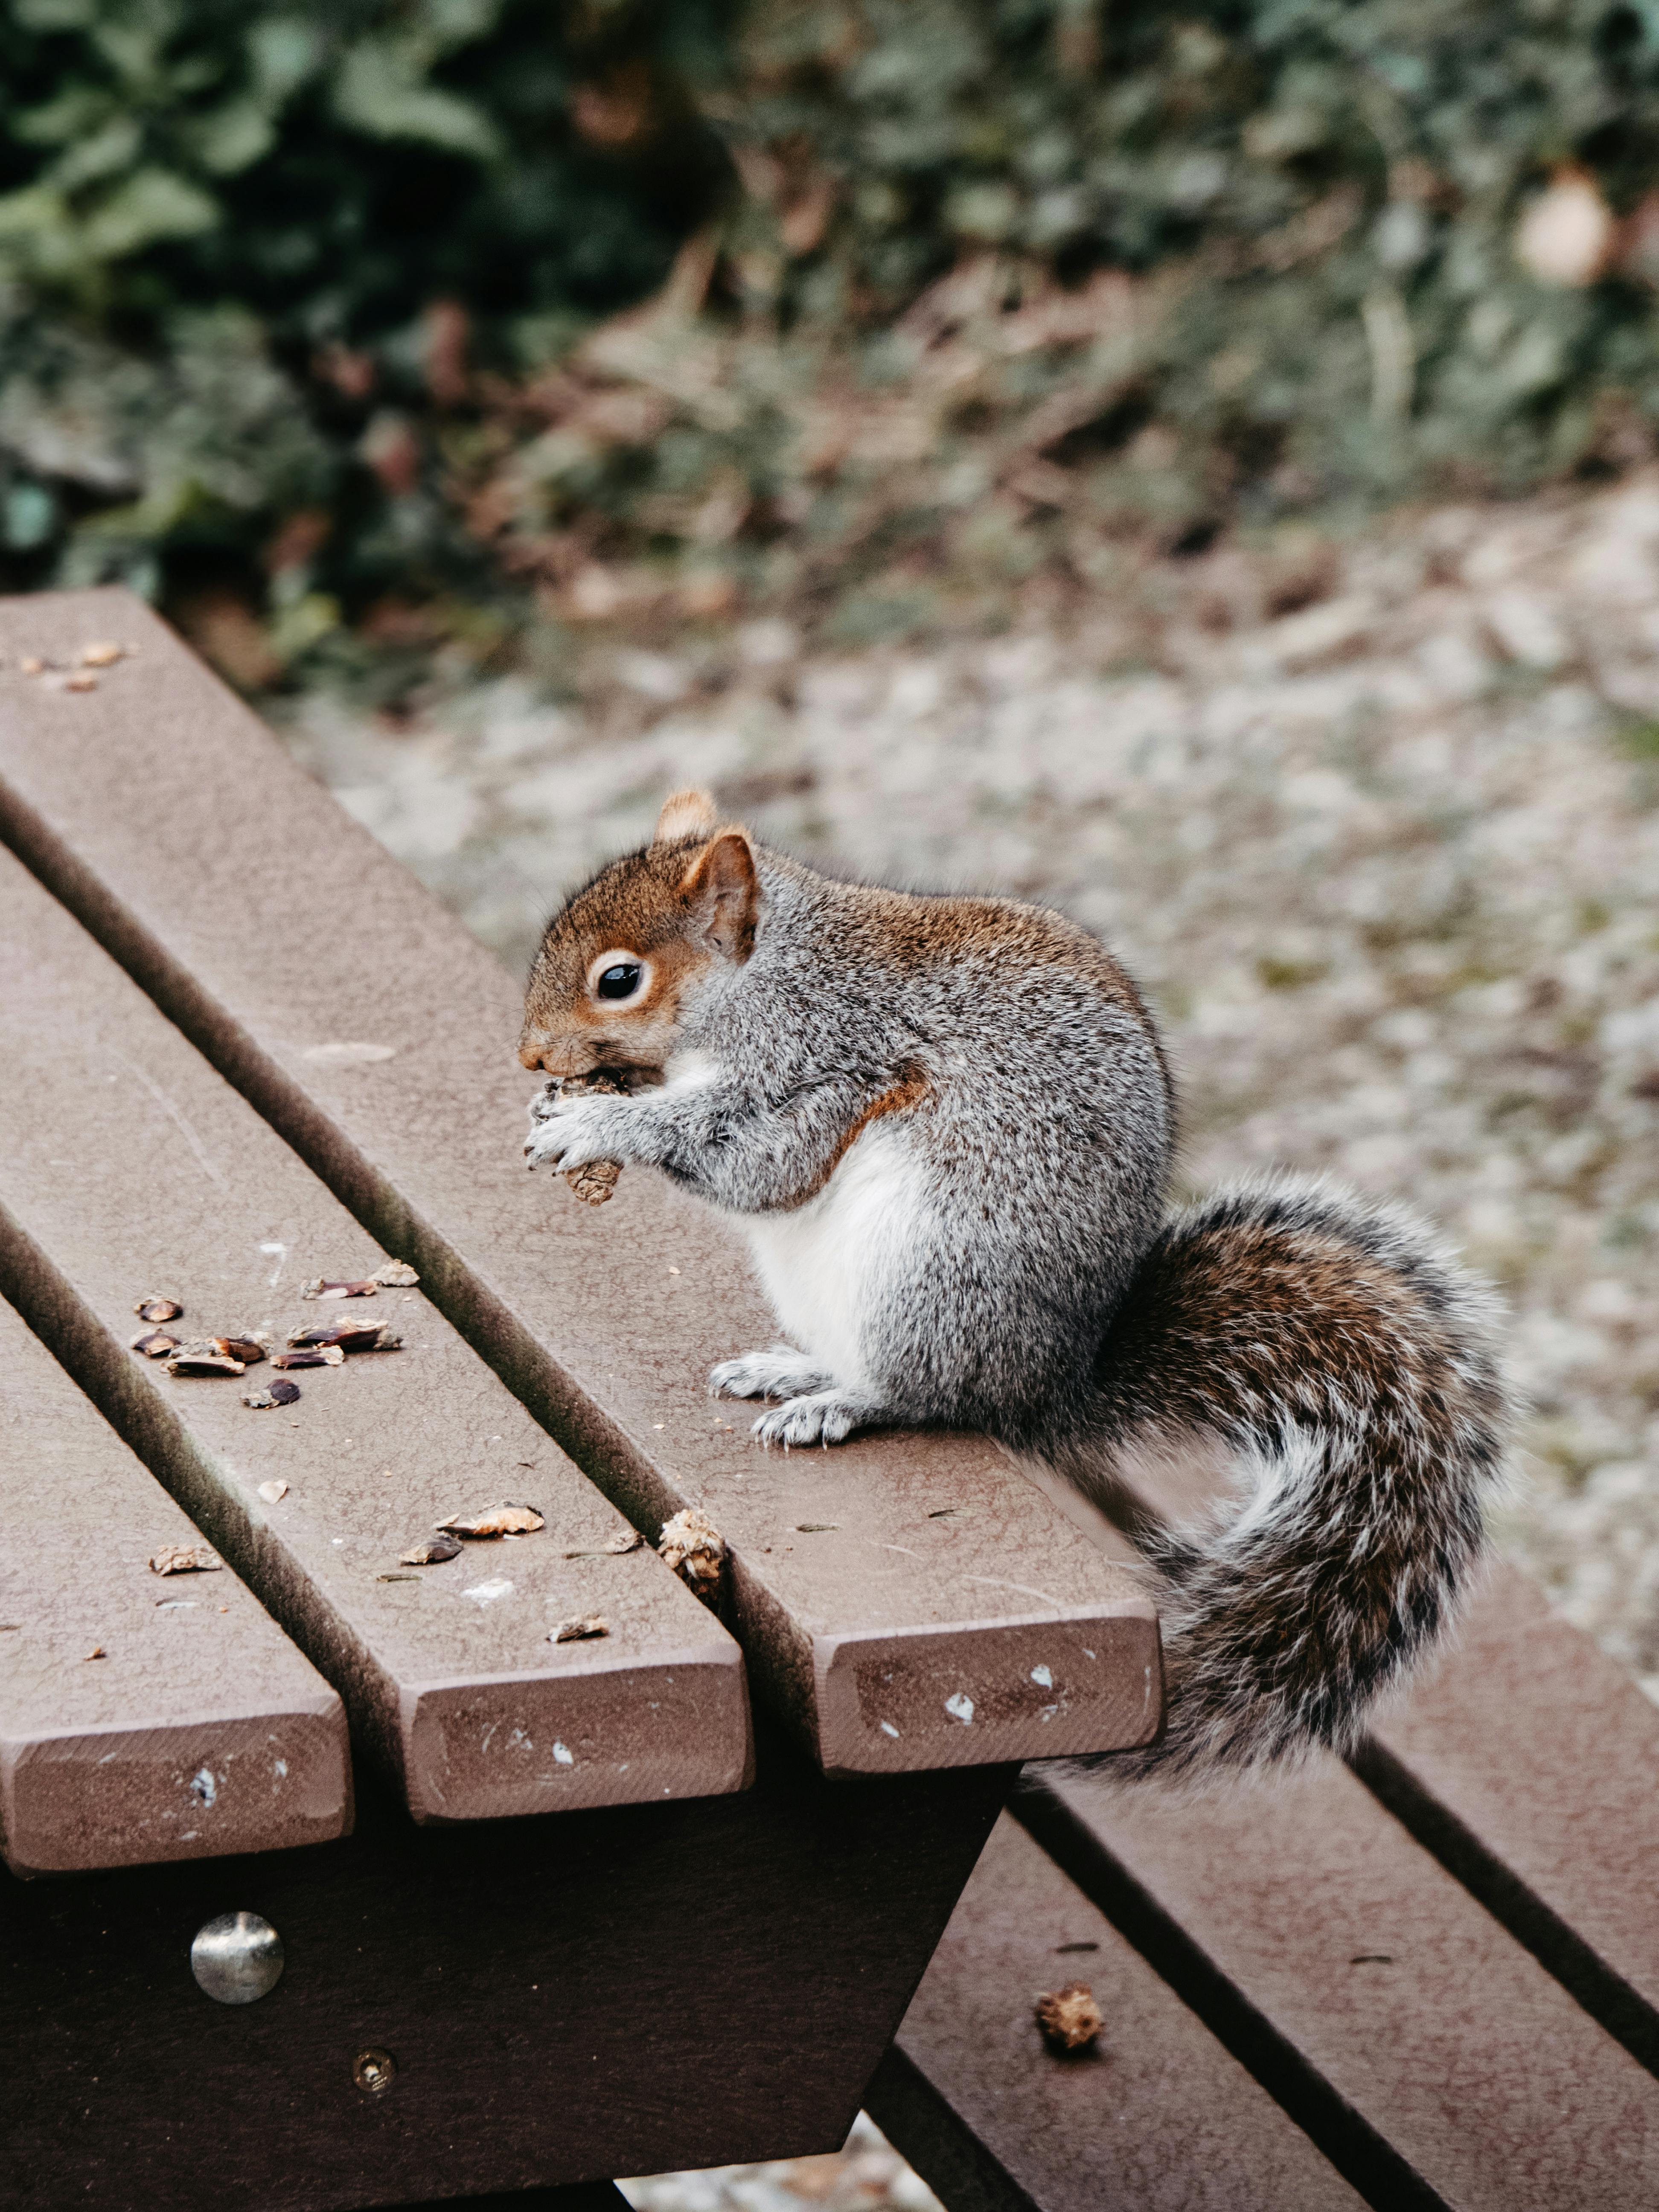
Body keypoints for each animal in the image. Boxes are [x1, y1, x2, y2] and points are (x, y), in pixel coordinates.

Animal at [522, 787, 1522, 1770]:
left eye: (620, 980)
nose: (531, 1057)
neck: (764, 977)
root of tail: (1048, 1383)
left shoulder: (823, 1065)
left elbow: (754, 1165)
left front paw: (599, 1127)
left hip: (930, 1279)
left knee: (923, 1394)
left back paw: (839, 1403)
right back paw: (794, 1368)